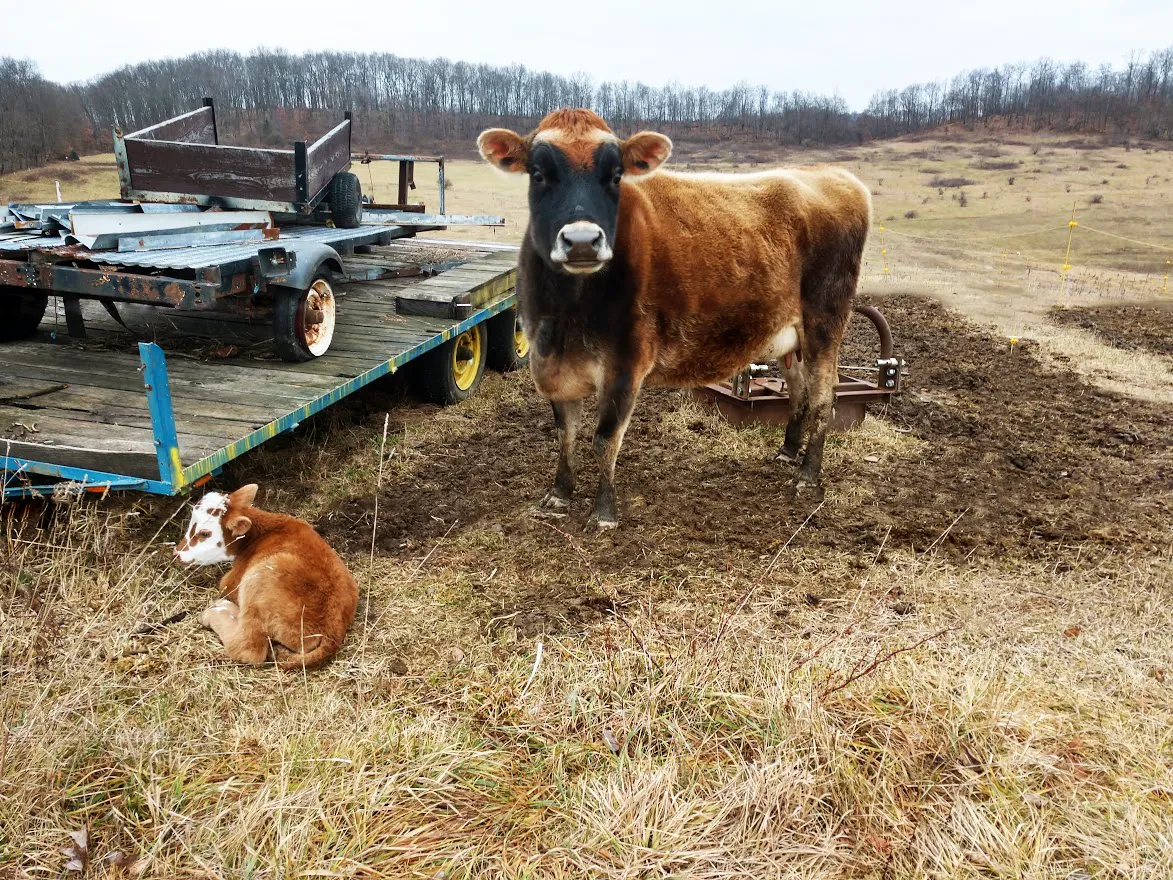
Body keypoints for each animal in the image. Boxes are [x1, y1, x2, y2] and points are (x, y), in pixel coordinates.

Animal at [478, 108, 871, 531]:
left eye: (616, 174)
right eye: (538, 173)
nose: (582, 241)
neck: (566, 315)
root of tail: (834, 176)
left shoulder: (626, 363)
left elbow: (604, 439)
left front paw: (603, 513)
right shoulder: (551, 363)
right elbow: (565, 432)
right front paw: (559, 493)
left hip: (825, 321)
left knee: (823, 398)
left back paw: (808, 475)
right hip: (790, 336)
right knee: (798, 391)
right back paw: (787, 452)